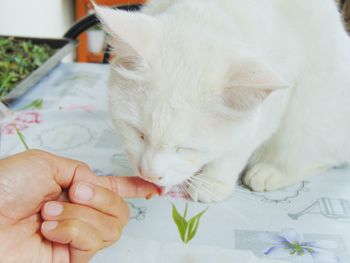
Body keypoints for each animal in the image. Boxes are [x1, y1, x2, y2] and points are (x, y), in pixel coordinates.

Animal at [94, 0, 350, 203]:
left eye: (186, 148)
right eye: (138, 133)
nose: (149, 174)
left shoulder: (273, 105)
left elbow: (237, 148)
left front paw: (212, 181)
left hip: (310, 114)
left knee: (320, 156)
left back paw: (270, 172)